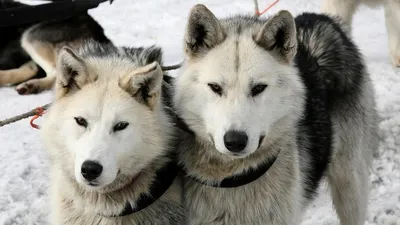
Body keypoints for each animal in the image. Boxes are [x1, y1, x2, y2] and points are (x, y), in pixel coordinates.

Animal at [173, 3, 378, 225]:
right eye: (215, 87)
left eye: (258, 88)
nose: (235, 141)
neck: (233, 178)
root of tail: (322, 19)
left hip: (349, 185)